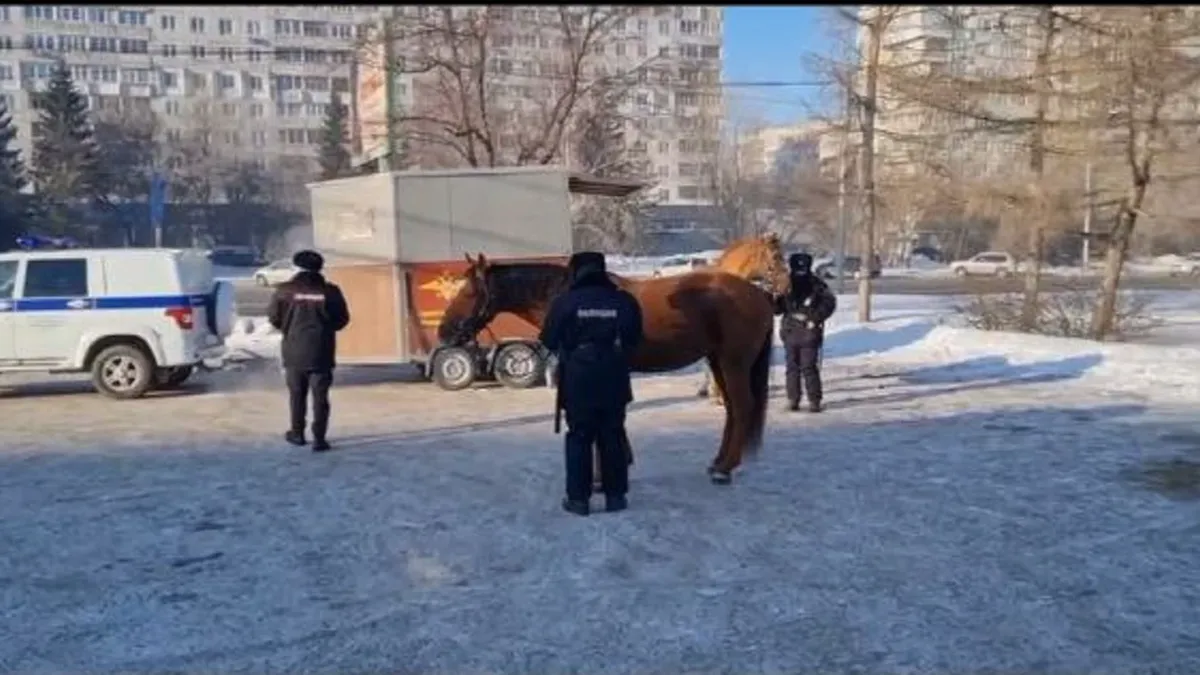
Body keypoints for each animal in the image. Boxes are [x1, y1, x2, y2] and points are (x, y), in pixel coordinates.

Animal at [439, 253, 768, 482]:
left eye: (469, 292)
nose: (444, 332)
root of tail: (759, 294)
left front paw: (599, 478)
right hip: (717, 360)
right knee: (732, 409)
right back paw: (718, 463)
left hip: (733, 361)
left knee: (742, 407)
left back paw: (725, 470)